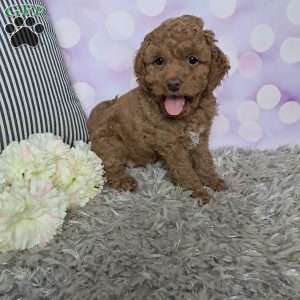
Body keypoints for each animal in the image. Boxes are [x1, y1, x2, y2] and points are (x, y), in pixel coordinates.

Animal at [88, 14, 231, 204]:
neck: (188, 114)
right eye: (159, 61)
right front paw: (198, 192)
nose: (173, 84)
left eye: (193, 60)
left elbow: (204, 161)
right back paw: (124, 181)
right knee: (110, 166)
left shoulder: (200, 138)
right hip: (109, 143)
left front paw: (213, 181)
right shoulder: (172, 146)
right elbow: (185, 170)